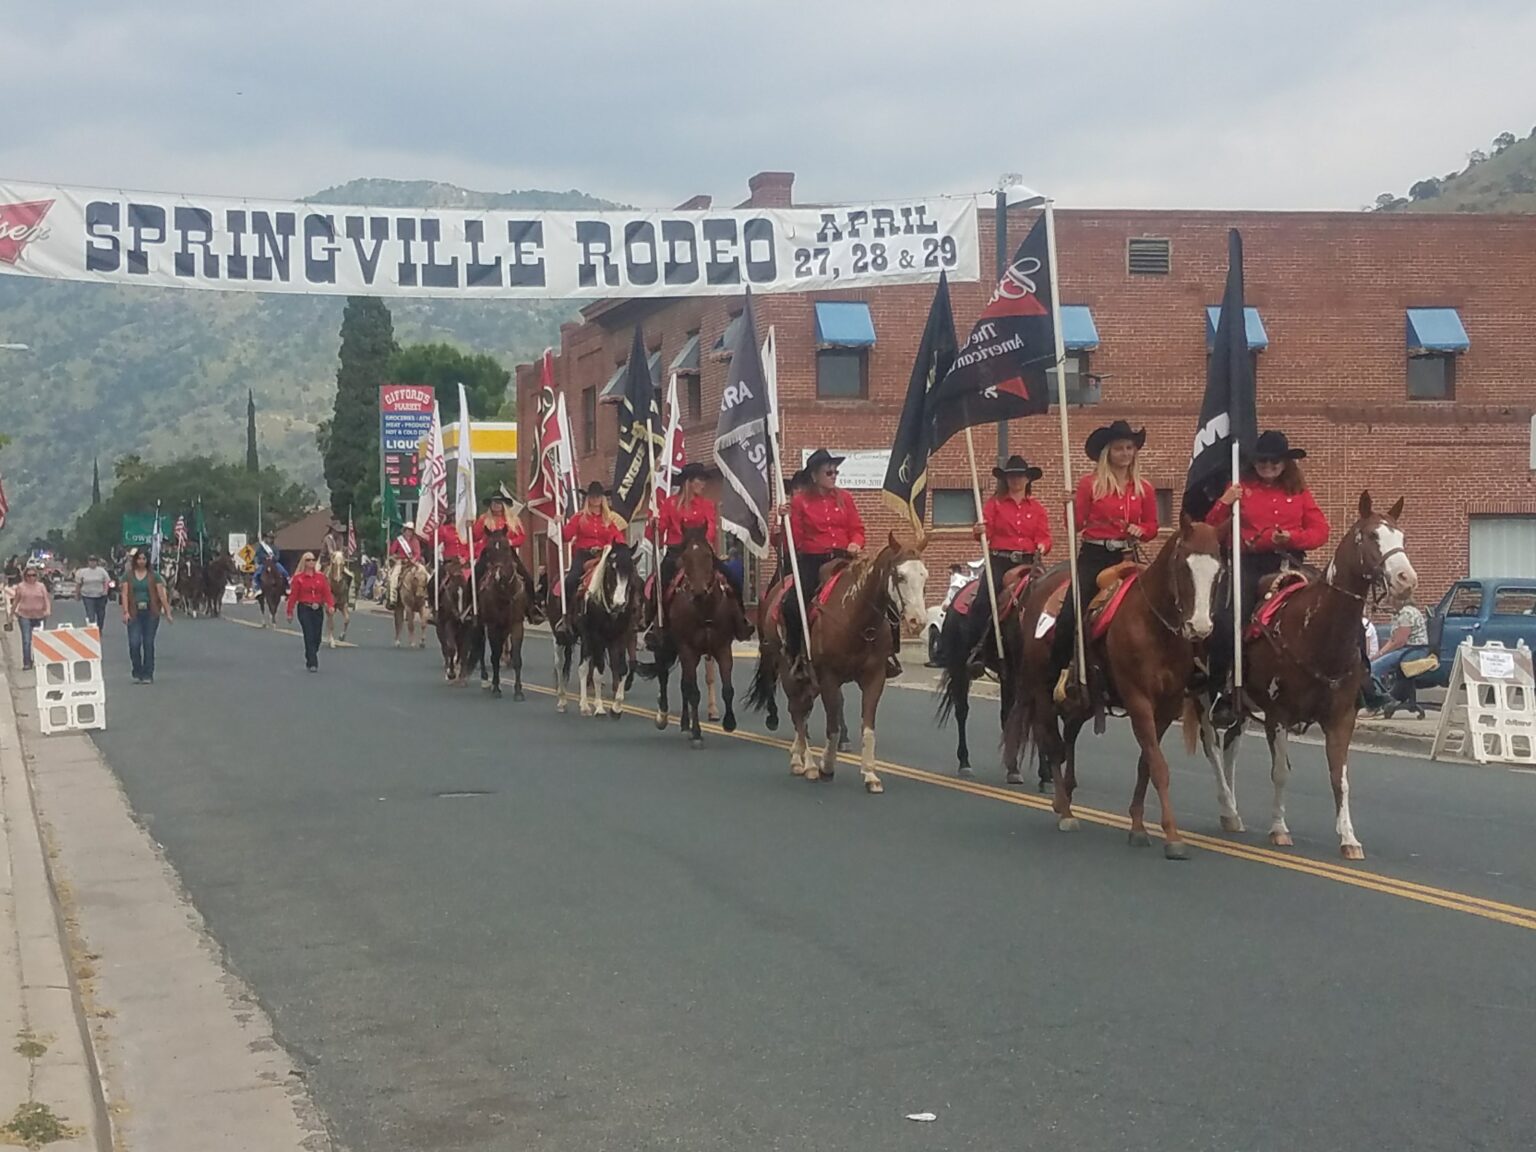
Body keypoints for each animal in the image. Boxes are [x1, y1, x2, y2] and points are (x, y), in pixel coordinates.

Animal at [645, 531, 746, 749]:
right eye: (685, 558)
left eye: (708, 556)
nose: (698, 591)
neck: (705, 609)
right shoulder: (687, 649)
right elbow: (694, 692)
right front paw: (698, 733)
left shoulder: (722, 647)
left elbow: (727, 689)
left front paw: (729, 722)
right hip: (664, 647)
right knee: (665, 677)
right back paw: (664, 717)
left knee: (684, 683)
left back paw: (685, 723)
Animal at [743, 531, 921, 792]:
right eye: (900, 576)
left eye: (924, 574)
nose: (918, 620)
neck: (856, 618)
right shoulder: (829, 677)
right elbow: (833, 725)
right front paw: (826, 766)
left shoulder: (874, 677)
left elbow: (867, 727)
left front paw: (870, 774)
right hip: (788, 670)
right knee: (798, 712)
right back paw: (808, 765)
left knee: (803, 710)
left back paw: (798, 757)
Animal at [1007, 519, 1222, 860]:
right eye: (1183, 566)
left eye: (1219, 570)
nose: (1199, 628)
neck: (1154, 627)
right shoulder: (1138, 701)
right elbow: (1159, 766)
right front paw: (1173, 836)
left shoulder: (1167, 707)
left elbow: (1146, 763)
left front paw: (1137, 825)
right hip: (1041, 687)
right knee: (1051, 741)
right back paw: (1065, 810)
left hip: (1082, 699)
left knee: (1069, 734)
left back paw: (1065, 794)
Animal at [1191, 491, 1419, 860]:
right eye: (1371, 536)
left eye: (1401, 537)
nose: (1405, 579)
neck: (1316, 632)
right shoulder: (1278, 715)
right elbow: (1281, 772)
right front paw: (1279, 829)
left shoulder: (1341, 717)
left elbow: (1340, 778)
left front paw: (1348, 838)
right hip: (1201, 696)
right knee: (1212, 745)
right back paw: (1226, 806)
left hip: (1240, 704)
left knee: (1231, 746)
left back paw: (1233, 815)